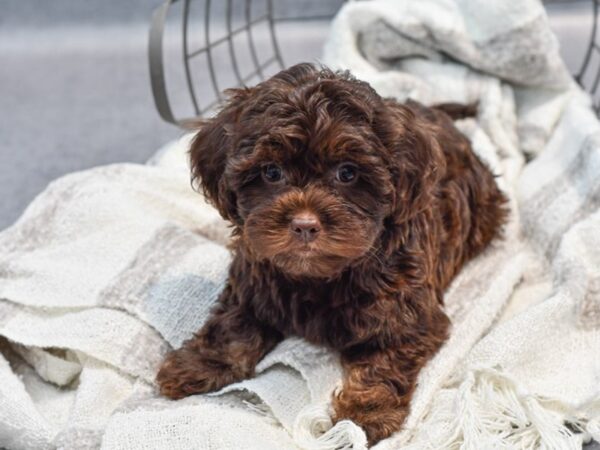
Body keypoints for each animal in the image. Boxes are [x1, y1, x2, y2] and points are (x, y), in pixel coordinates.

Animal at [156, 63, 506, 446]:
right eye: (271, 172)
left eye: (347, 173)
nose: (305, 225)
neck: (318, 276)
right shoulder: (252, 282)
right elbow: (232, 326)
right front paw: (198, 364)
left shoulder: (407, 311)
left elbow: (383, 361)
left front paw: (365, 412)